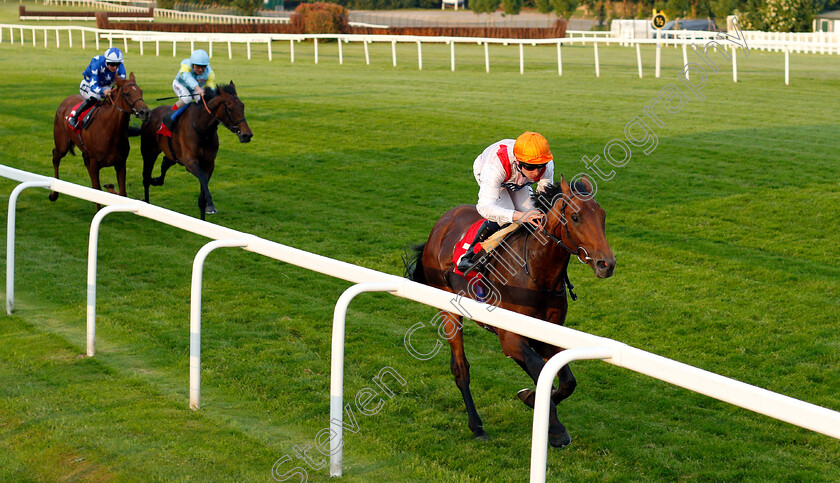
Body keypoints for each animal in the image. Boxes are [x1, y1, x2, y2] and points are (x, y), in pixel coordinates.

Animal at [50, 73, 151, 203]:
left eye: (140, 91)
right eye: (127, 93)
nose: (145, 112)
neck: (110, 131)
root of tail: (65, 101)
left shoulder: (120, 164)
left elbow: (122, 194)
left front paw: (111, 188)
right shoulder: (94, 164)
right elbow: (97, 191)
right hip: (62, 144)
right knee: (55, 157)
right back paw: (54, 193)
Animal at [140, 82, 253, 220]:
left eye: (242, 106)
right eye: (230, 108)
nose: (247, 135)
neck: (202, 128)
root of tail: (150, 113)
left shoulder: (209, 163)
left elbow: (202, 194)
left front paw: (207, 210)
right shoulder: (190, 163)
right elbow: (203, 178)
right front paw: (211, 204)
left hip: (173, 154)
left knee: (166, 162)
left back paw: (157, 180)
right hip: (149, 151)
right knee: (146, 177)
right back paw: (146, 203)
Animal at [406, 176, 616, 448]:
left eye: (602, 216)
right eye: (576, 216)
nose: (606, 264)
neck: (536, 273)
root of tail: (443, 221)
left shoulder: (548, 335)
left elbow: (567, 381)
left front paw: (531, 398)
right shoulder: (510, 338)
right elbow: (539, 369)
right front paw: (556, 429)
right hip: (448, 309)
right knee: (461, 368)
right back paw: (477, 426)